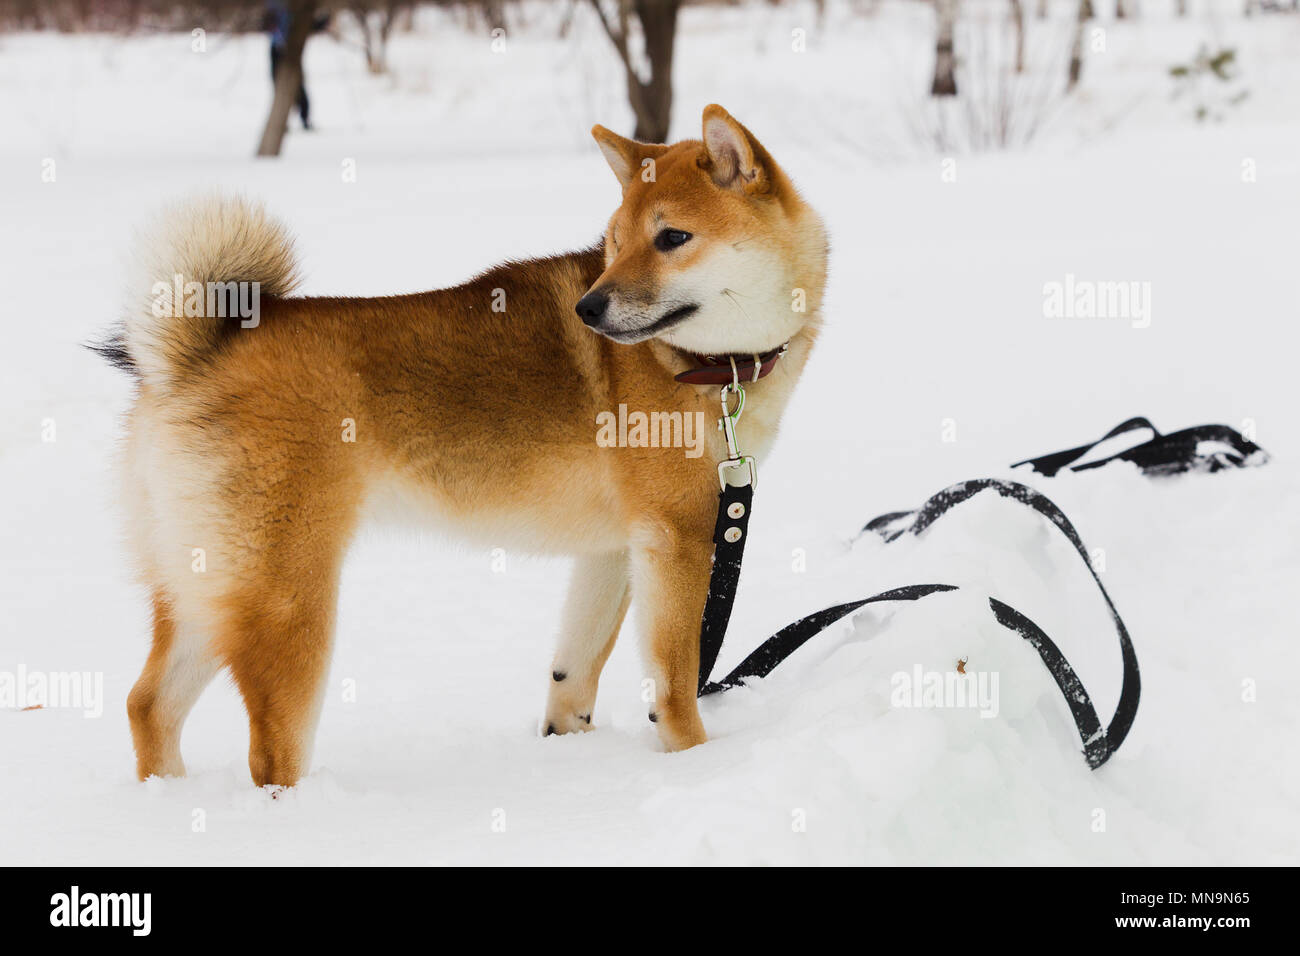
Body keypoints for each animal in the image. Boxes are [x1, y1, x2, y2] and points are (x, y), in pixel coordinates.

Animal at [106, 108, 826, 790]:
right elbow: (675, 684)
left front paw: (568, 750)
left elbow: (574, 670)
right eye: (617, 244)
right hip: (287, 604)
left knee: (148, 705)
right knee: (269, 756)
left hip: (208, 590)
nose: (589, 309)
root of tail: (197, 356)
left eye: (672, 237)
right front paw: (696, 762)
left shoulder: (614, 549)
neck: (709, 366)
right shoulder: (681, 537)